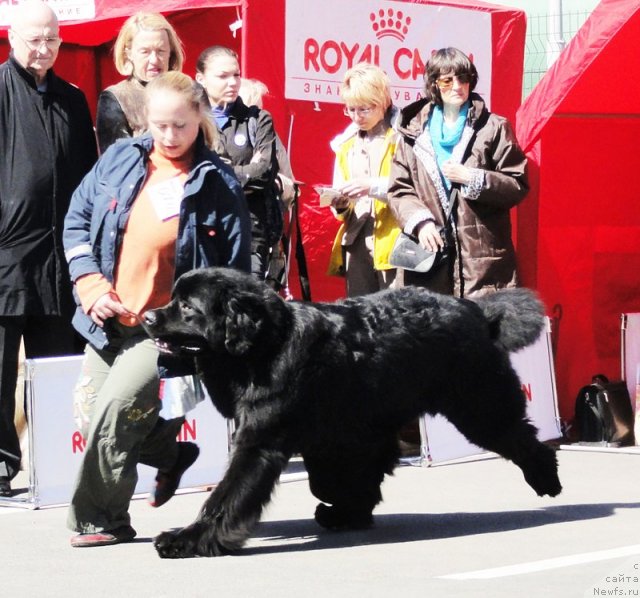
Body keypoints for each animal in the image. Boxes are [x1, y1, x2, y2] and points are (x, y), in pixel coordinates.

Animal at [144, 268, 560, 556]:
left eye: (187, 307)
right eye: (173, 298)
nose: (147, 317)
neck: (264, 347)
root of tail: (473, 308)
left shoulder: (259, 442)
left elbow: (226, 496)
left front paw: (188, 539)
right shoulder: (343, 434)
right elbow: (340, 478)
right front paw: (347, 512)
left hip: (477, 404)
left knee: (519, 435)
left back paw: (546, 478)